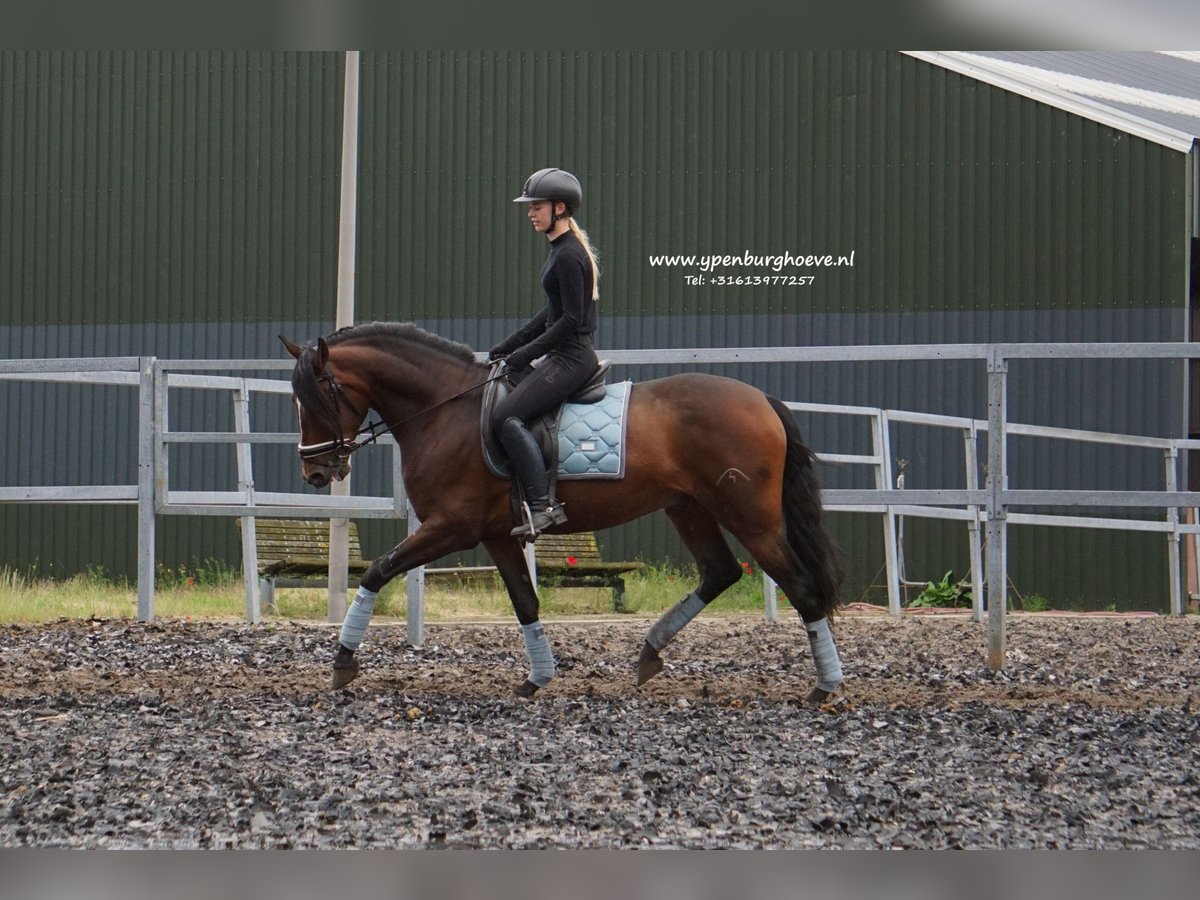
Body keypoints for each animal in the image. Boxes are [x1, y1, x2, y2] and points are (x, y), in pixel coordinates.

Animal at [280, 321, 849, 710]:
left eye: (318, 395)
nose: (314, 471)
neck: (445, 409)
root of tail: (762, 400)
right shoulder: (497, 535)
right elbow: (525, 602)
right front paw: (537, 678)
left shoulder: (452, 528)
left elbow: (377, 571)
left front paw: (342, 662)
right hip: (688, 508)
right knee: (721, 572)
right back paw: (649, 653)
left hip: (750, 516)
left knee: (800, 586)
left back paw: (825, 687)